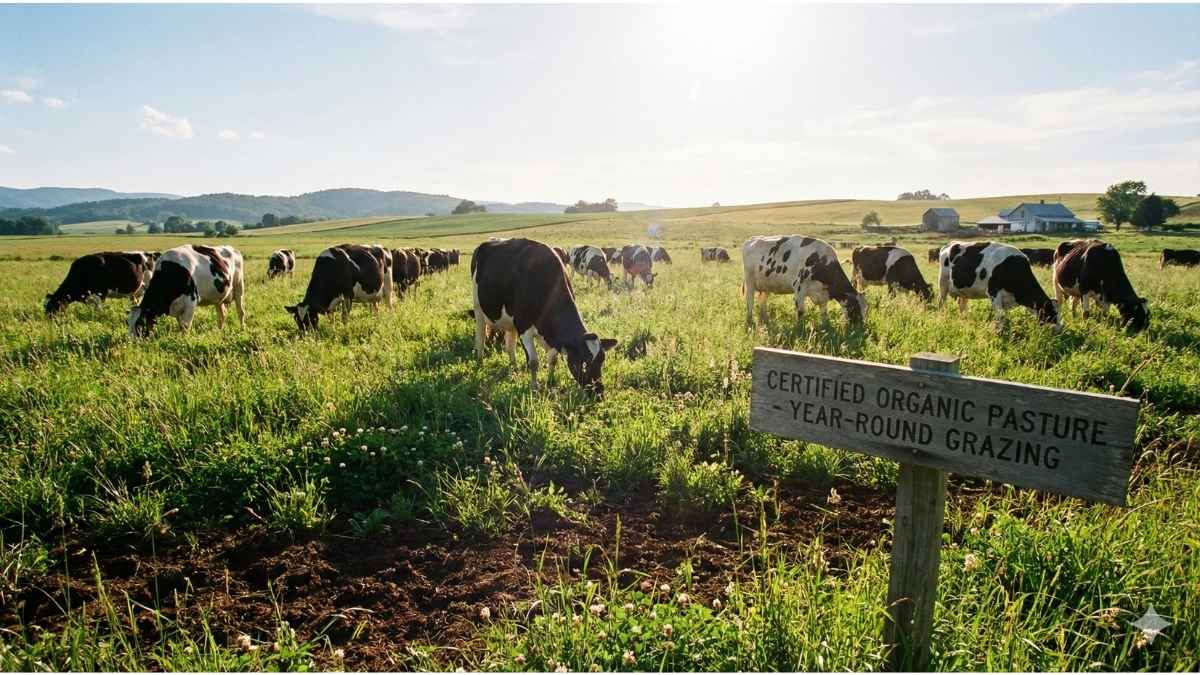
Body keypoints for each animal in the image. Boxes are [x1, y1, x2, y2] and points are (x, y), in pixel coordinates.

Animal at [471, 238, 618, 396]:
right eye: (583, 363)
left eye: (602, 361)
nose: (599, 392)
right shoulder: (524, 327)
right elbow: (534, 362)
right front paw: (534, 387)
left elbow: (553, 359)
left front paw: (550, 381)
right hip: (478, 308)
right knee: (481, 337)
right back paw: (480, 362)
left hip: (510, 321)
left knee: (510, 345)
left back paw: (514, 368)